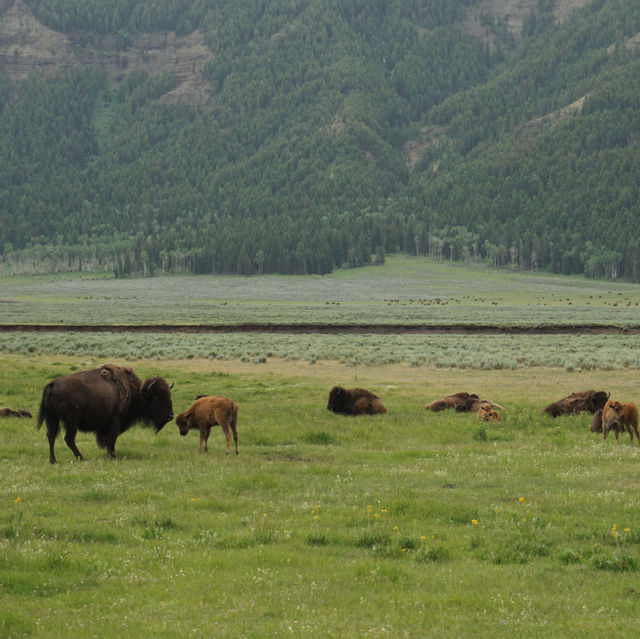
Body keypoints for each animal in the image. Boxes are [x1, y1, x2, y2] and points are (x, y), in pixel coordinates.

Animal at [38, 362, 174, 462]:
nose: (171, 416)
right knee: (69, 438)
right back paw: (81, 458)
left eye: (169, 395)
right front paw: (112, 456)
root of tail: (52, 384)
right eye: (157, 397)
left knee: (51, 436)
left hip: (53, 418)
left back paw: (53, 460)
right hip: (71, 422)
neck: (136, 392)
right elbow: (112, 438)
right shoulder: (115, 420)